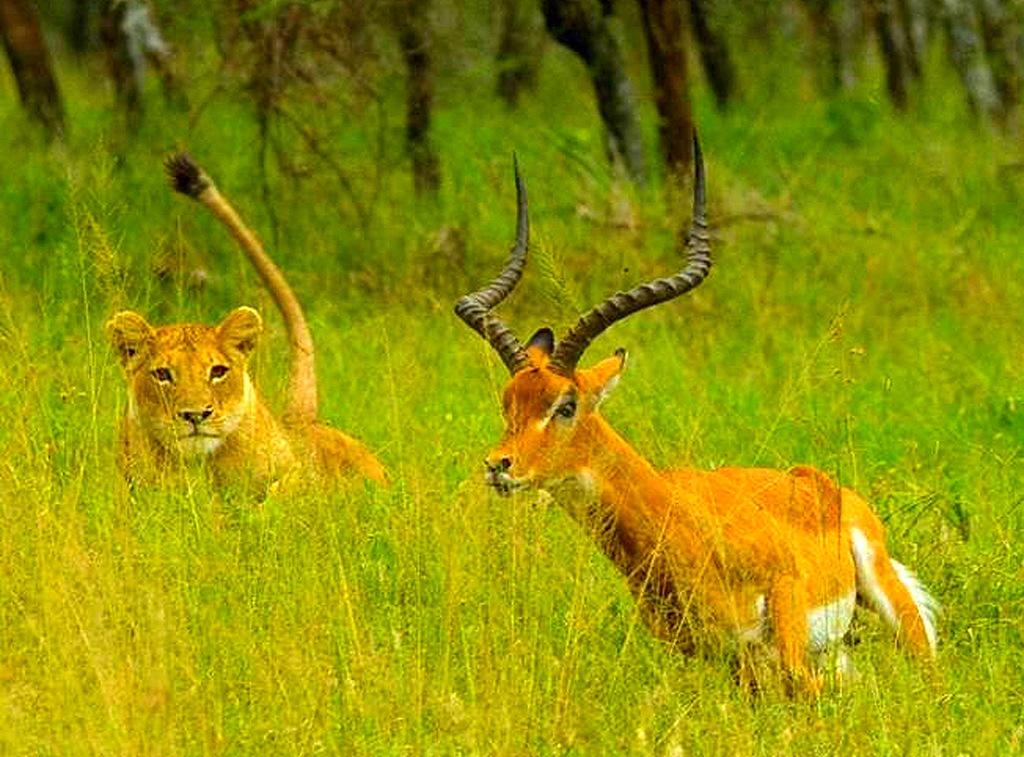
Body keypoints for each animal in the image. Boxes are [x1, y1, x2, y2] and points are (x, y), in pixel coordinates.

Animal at [106, 153, 387, 494]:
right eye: (162, 375)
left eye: (218, 372)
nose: (196, 415)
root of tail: (301, 421)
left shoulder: (294, 474)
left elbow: (278, 494)